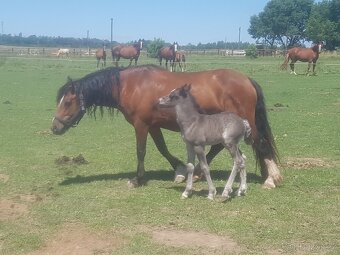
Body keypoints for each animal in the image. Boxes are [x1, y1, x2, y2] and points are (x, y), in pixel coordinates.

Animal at [51, 64, 282, 190]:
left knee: (261, 144)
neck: (131, 85)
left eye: (68, 102)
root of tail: (247, 80)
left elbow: (141, 151)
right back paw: (197, 172)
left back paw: (271, 178)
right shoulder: (153, 125)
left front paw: (138, 179)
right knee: (218, 146)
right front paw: (180, 170)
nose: (54, 127)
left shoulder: (141, 125)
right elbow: (162, 148)